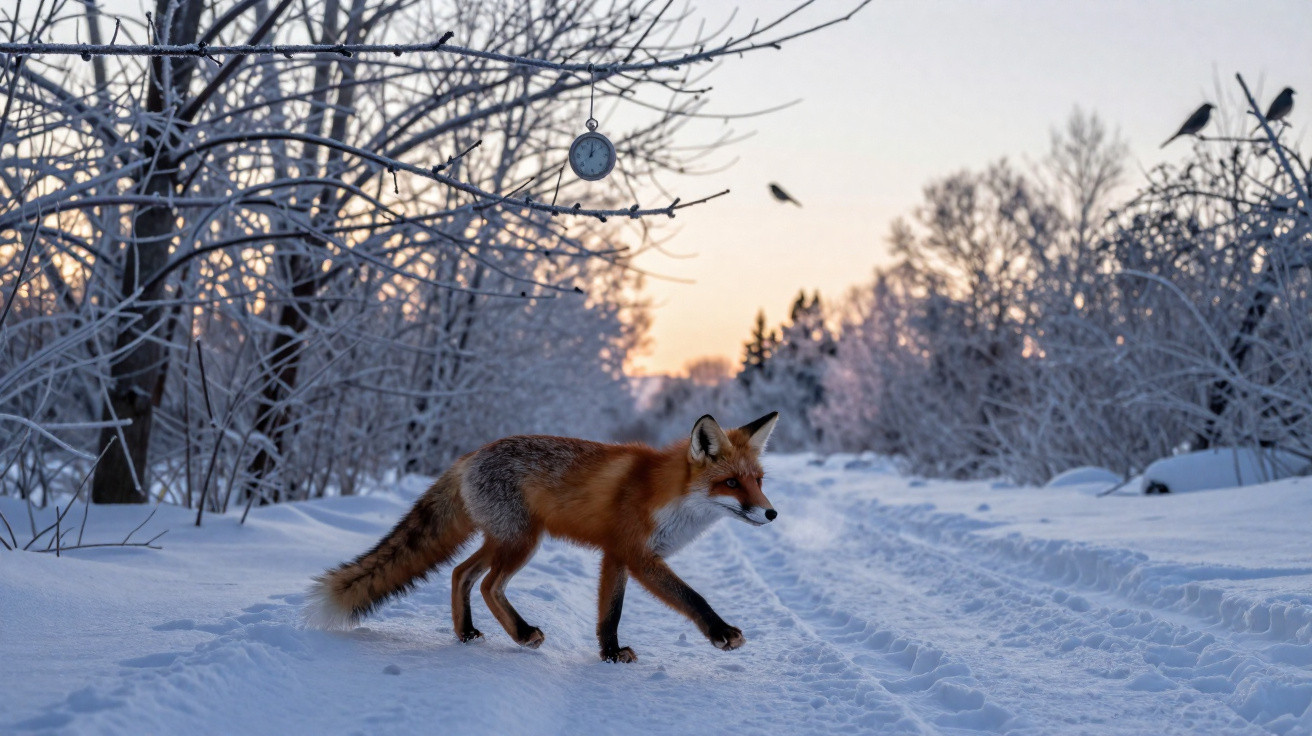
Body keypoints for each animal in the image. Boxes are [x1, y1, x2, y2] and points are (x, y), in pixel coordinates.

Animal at [304, 412, 779, 662]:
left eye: (757, 480)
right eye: (731, 483)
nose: (771, 513)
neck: (671, 498)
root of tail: (468, 457)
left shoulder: (616, 556)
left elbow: (609, 614)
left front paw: (609, 655)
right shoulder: (636, 554)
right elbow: (690, 597)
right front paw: (720, 632)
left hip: (502, 540)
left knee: (460, 574)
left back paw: (466, 633)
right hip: (521, 542)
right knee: (489, 585)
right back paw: (520, 633)